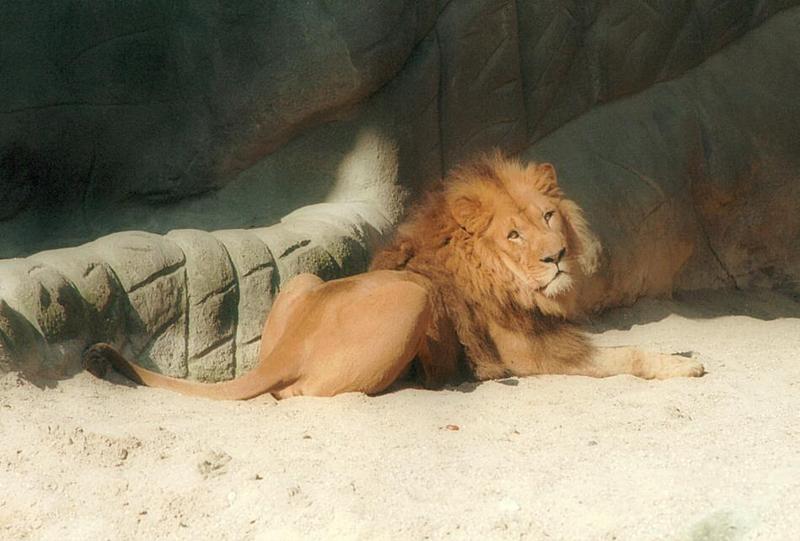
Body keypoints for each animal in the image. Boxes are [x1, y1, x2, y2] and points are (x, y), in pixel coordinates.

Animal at [84, 154, 704, 398]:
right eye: (514, 235)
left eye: (548, 217)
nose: (556, 256)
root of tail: (290, 346)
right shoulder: (532, 354)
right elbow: (626, 356)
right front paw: (684, 365)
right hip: (412, 298)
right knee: (301, 392)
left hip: (304, 281)